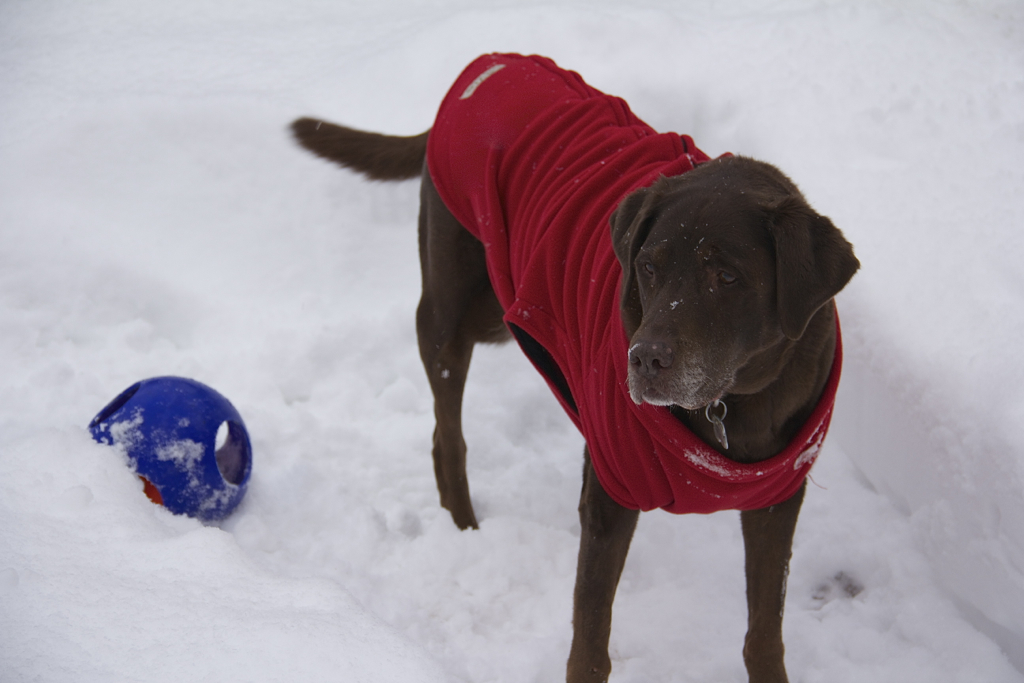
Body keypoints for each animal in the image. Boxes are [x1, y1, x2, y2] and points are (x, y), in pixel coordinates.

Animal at [292, 54, 860, 683]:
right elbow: (590, 636)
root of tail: (489, 63)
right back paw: (466, 529)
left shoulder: (777, 499)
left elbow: (764, 630)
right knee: (448, 434)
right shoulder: (609, 490)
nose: (644, 358)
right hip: (456, 310)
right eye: (648, 266)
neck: (735, 401)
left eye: (727, 276)